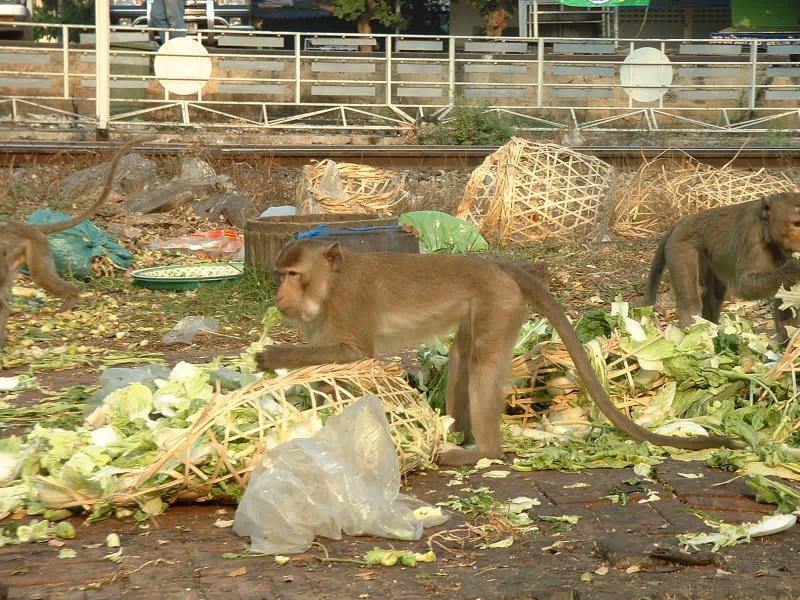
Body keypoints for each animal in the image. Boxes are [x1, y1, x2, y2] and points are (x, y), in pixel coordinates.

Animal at [258, 238, 744, 464]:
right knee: (463, 356)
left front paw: (270, 358)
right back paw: (459, 433)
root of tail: (499, 266)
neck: (330, 284)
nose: (279, 296)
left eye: (293, 274)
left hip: (500, 303)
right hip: (485, 306)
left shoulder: (350, 301)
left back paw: (483, 452)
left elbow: (355, 354)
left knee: (482, 364)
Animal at [644, 192, 800, 342]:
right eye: (797, 223)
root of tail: (681, 222)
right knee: (690, 301)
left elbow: (783, 296)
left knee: (713, 297)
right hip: (681, 246)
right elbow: (745, 286)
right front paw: (794, 268)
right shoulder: (752, 234)